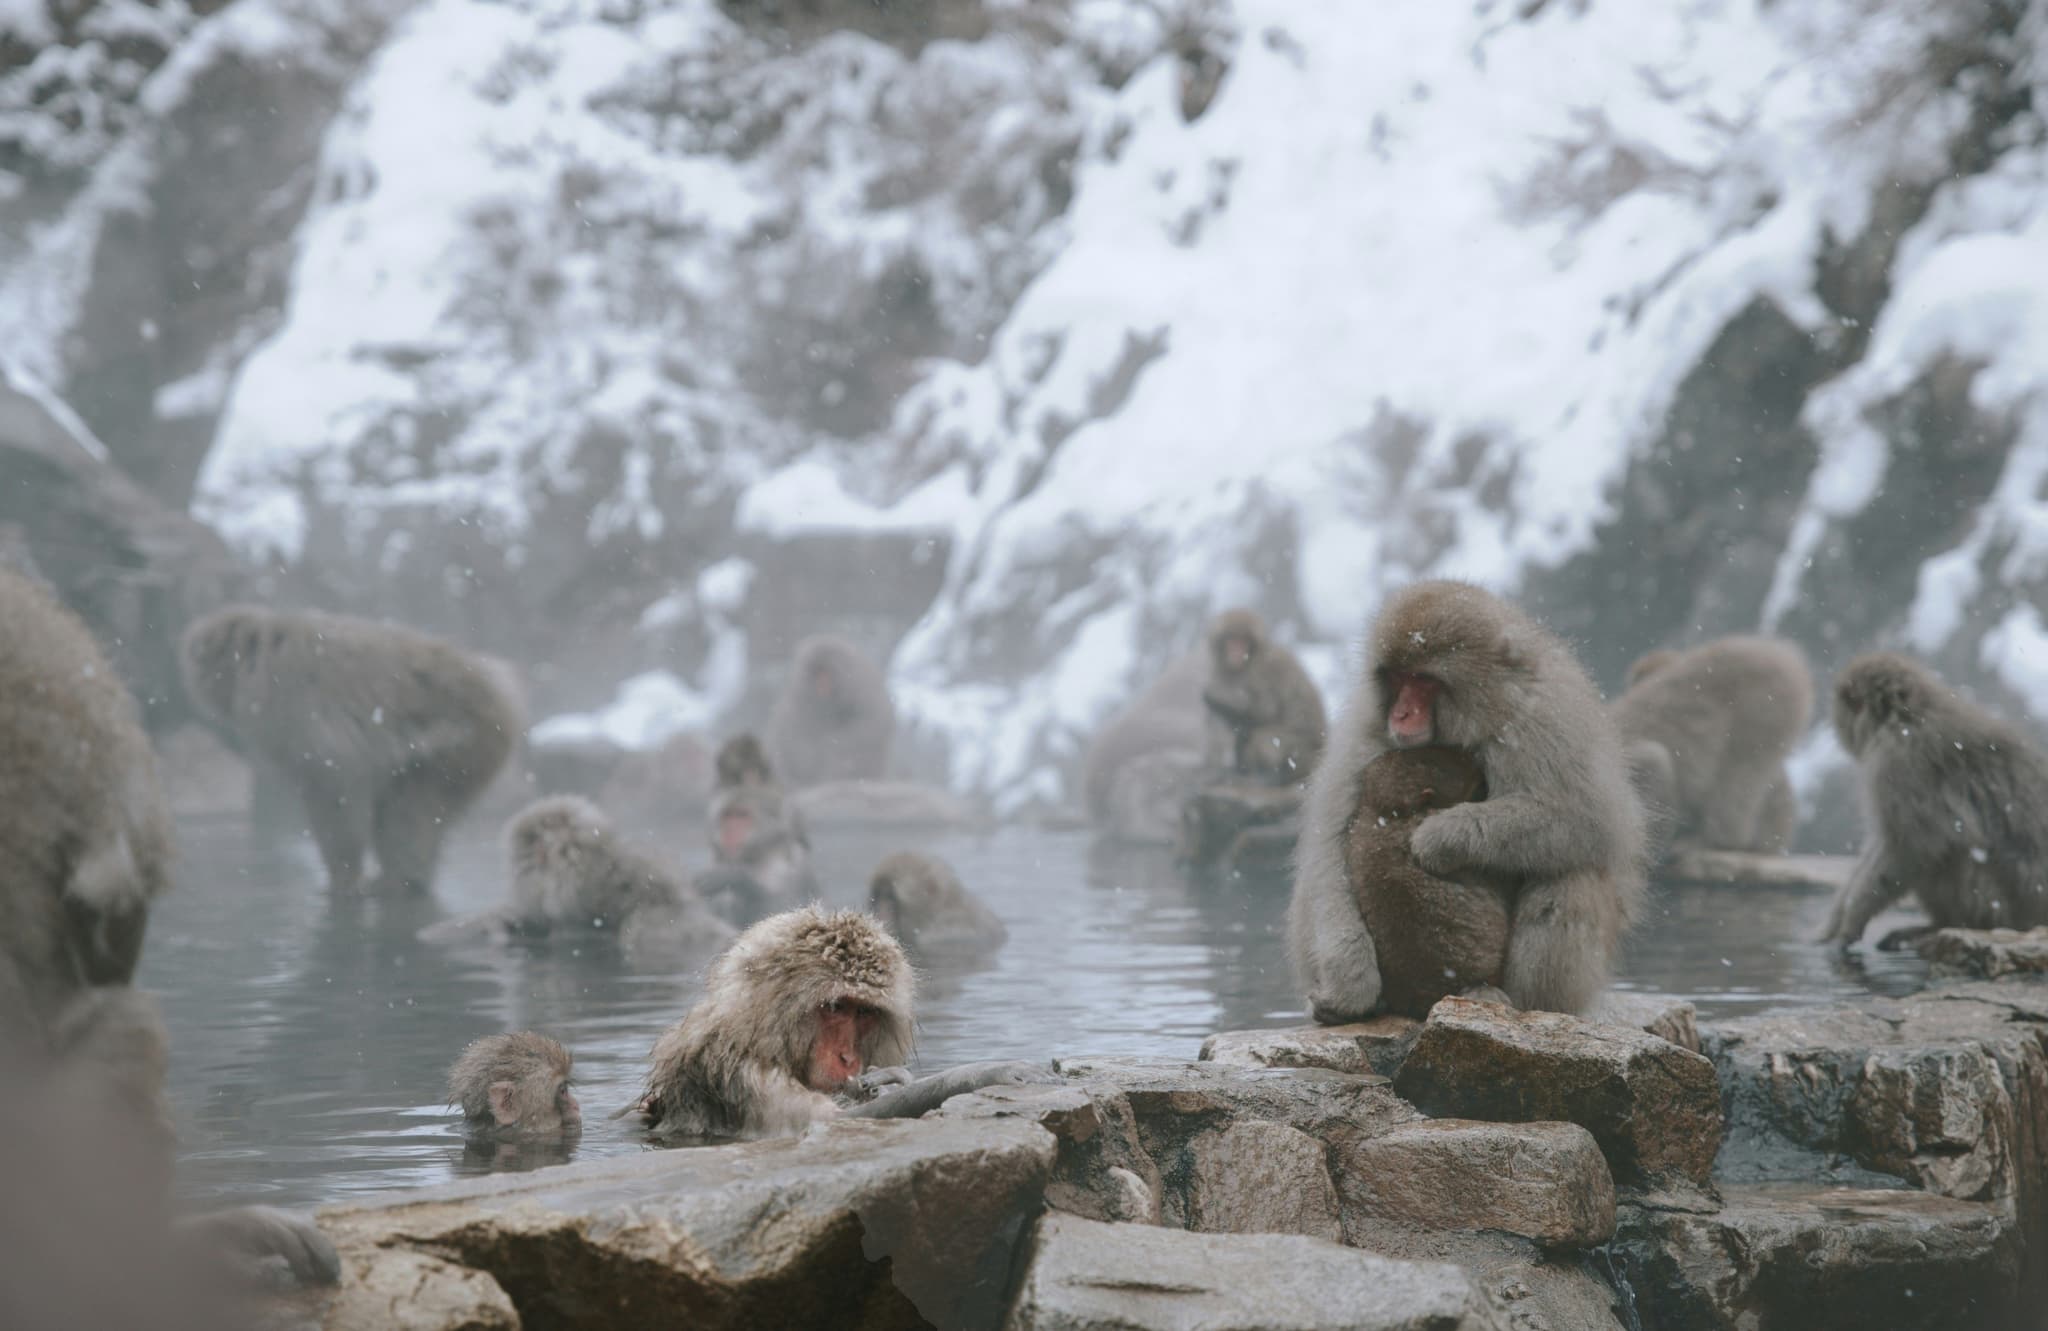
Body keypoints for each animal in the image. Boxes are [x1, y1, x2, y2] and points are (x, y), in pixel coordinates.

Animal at [179, 605, 524, 893]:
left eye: (204, 651)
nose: (192, 659)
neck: (258, 655)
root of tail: (502, 691)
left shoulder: (286, 701)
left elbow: (332, 778)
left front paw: (342, 875)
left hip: (460, 744)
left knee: (413, 807)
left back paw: (400, 879)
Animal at [631, 905, 1053, 1140]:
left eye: (863, 1012)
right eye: (835, 1007)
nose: (848, 1058)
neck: (761, 1041)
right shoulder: (747, 1079)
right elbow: (839, 1122)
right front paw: (990, 1071)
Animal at [765, 634, 895, 787]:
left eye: (826, 674)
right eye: (816, 675)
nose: (822, 686)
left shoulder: (860, 685)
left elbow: (874, 719)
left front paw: (830, 747)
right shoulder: (801, 695)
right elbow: (792, 725)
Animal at [1200, 609, 1327, 785]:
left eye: (1243, 641)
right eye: (1231, 640)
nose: (1236, 652)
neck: (1246, 665)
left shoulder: (1265, 673)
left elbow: (1264, 713)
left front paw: (1217, 702)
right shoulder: (1219, 674)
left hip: (1301, 752)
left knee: (1264, 735)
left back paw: (1271, 775)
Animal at [1818, 652, 2048, 950]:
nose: (1834, 723)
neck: (1907, 718)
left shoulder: (1901, 766)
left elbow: (1913, 847)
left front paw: (1852, 921)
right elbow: (1878, 846)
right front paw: (1834, 920)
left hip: (1999, 906)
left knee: (1952, 850)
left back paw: (1948, 926)